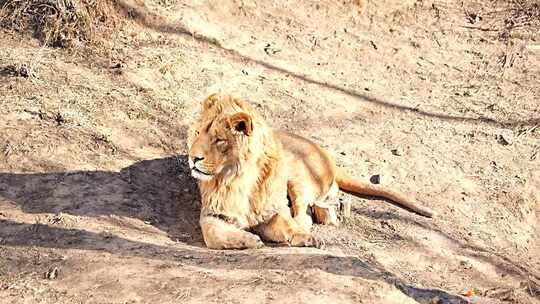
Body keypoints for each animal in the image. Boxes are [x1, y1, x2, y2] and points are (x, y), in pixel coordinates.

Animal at [188, 94, 432, 248]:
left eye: (219, 140)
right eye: (197, 133)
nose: (193, 158)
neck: (237, 178)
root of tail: (327, 154)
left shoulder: (274, 208)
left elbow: (287, 223)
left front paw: (304, 238)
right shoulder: (212, 214)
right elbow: (214, 235)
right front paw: (248, 240)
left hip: (298, 176)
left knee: (304, 211)